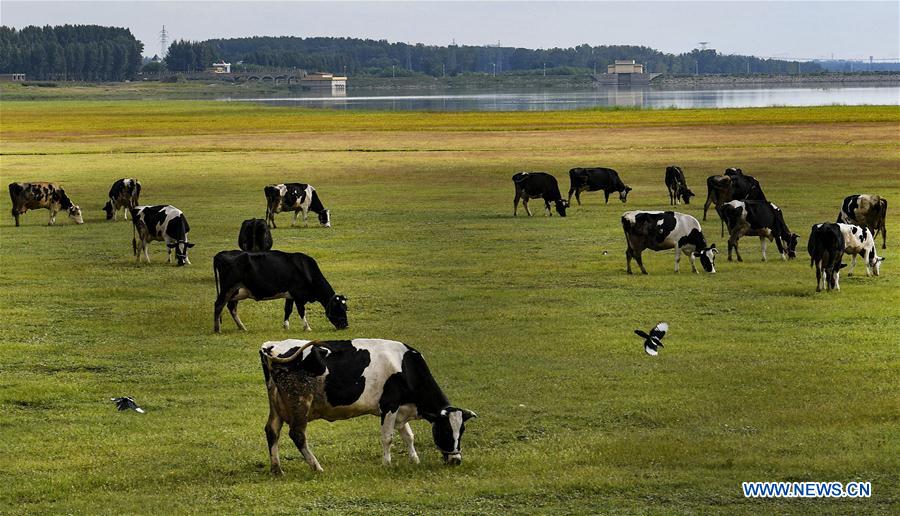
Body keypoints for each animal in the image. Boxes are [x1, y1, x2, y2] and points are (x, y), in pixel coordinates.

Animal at [214, 251, 348, 334]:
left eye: (346, 308)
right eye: (339, 308)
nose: (346, 326)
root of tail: (220, 254)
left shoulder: (290, 296)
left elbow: (288, 309)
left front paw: (286, 326)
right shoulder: (298, 295)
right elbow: (301, 311)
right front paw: (307, 327)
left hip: (235, 292)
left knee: (231, 307)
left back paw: (242, 327)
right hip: (228, 288)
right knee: (219, 305)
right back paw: (217, 329)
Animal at [260, 338, 478, 472]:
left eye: (462, 431)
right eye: (445, 430)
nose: (456, 460)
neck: (405, 366)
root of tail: (271, 346)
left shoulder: (401, 409)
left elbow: (408, 436)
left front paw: (414, 460)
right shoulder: (390, 405)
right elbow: (388, 438)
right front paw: (387, 463)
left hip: (276, 404)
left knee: (272, 430)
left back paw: (277, 468)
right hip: (300, 402)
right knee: (297, 434)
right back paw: (317, 467)